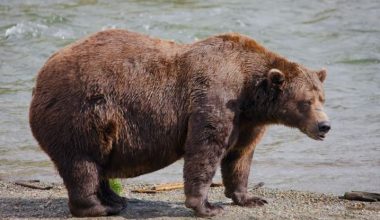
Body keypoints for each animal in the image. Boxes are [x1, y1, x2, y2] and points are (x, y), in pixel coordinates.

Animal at [29, 28, 330, 217]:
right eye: (305, 101)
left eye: (322, 98)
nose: (324, 126)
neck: (250, 93)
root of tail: (40, 75)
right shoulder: (215, 97)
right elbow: (205, 148)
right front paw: (207, 206)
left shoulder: (247, 121)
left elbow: (240, 157)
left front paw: (250, 198)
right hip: (81, 111)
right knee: (83, 162)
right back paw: (99, 207)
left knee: (98, 161)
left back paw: (115, 199)